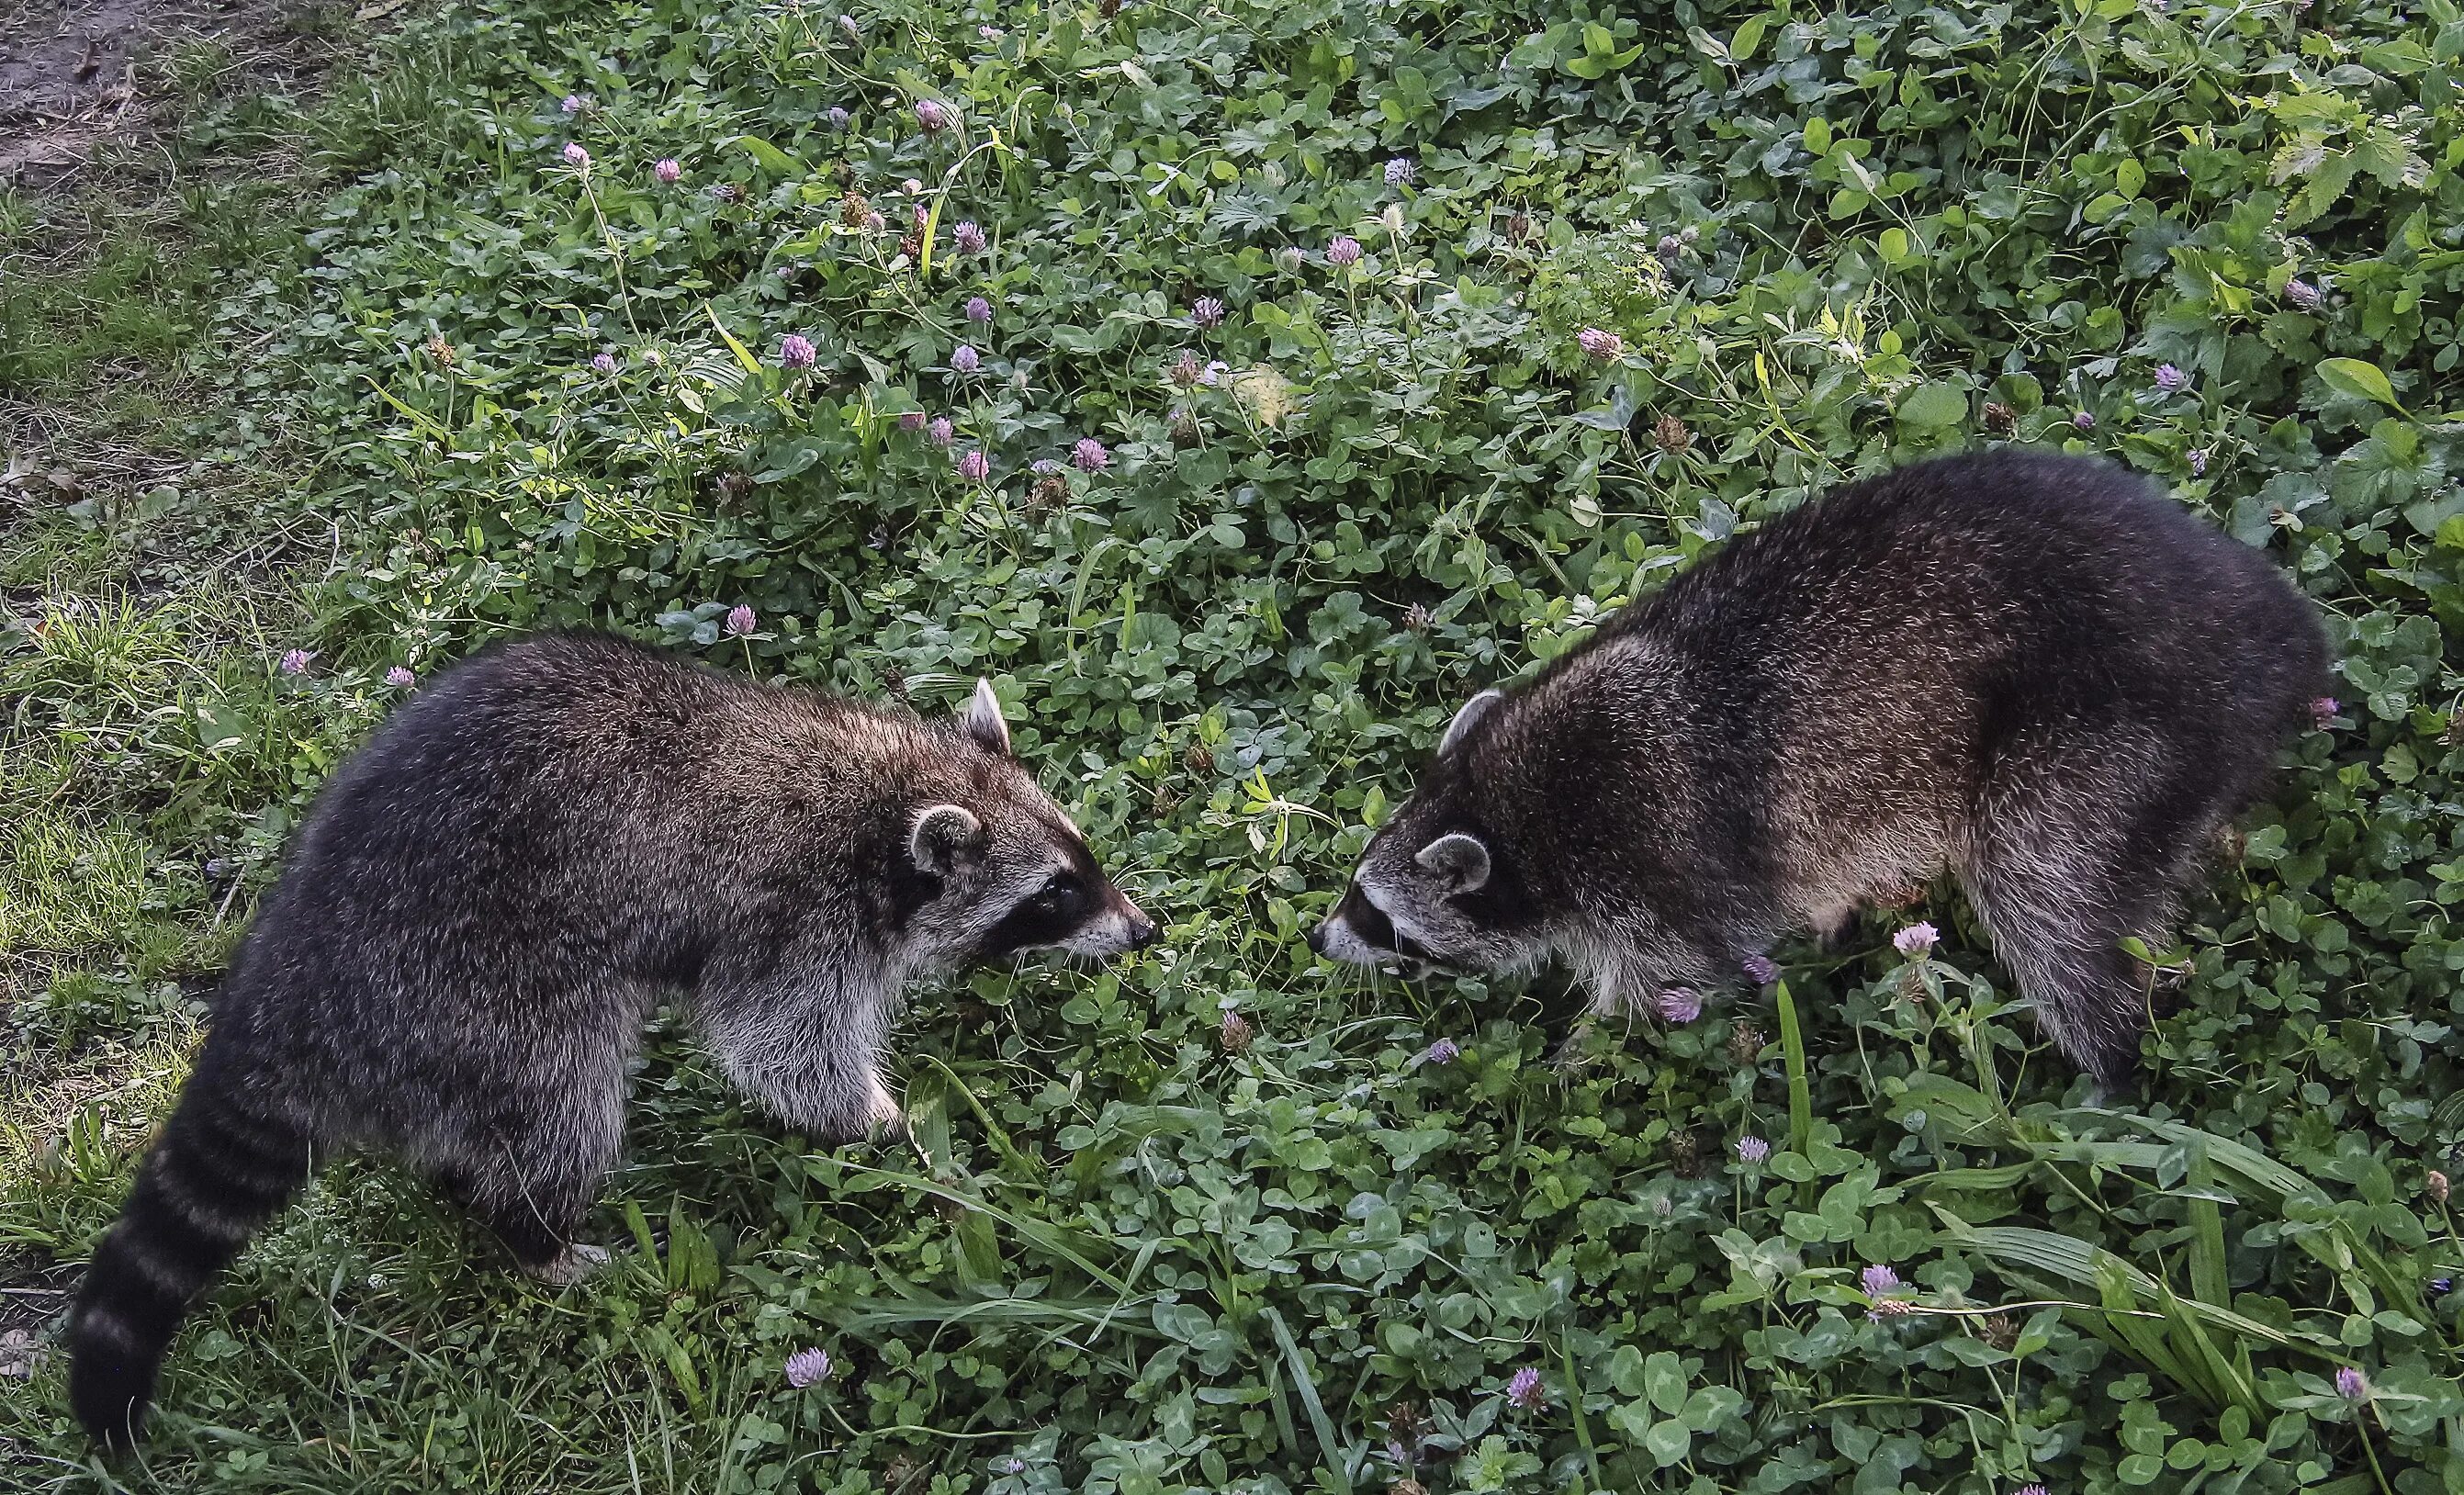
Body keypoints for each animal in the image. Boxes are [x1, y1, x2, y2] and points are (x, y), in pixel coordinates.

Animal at [67, 635, 1153, 1448]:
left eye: (1083, 860)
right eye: (1054, 893)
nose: (1143, 931)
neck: (883, 793)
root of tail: (288, 979)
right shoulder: (785, 913)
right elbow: (779, 1048)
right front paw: (884, 1126)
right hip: (481, 990)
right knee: (562, 1105)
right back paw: (535, 1237)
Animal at [1311, 448, 2325, 1088]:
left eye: (1379, 915)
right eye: (1356, 888)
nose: (1320, 940)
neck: (1515, 806)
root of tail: (2271, 632)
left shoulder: (1653, 862)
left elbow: (1667, 986)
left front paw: (1576, 1057)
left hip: (2107, 732)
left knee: (2045, 893)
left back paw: (2106, 1059)